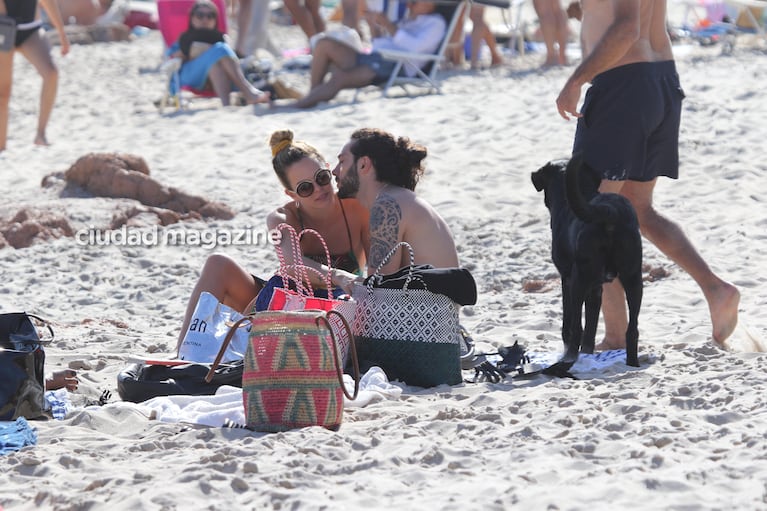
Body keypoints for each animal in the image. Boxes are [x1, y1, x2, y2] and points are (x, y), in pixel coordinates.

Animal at [536, 154, 640, 374]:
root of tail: (608, 212)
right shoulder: (596, 288)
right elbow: (591, 325)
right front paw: (588, 354)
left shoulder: (567, 279)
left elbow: (569, 324)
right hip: (633, 277)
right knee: (632, 329)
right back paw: (632, 364)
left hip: (579, 280)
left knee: (576, 327)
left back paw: (564, 364)